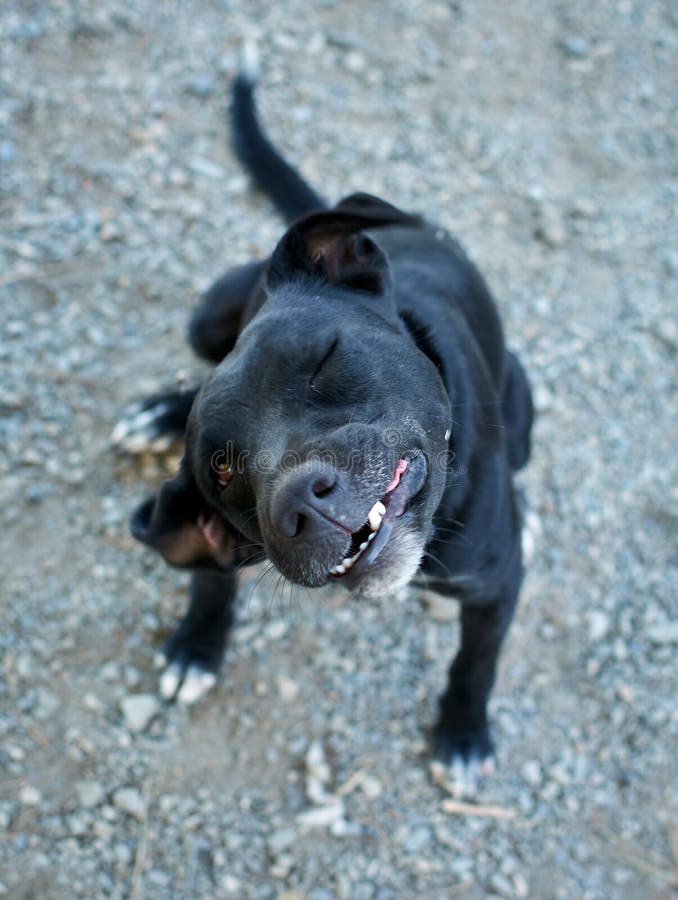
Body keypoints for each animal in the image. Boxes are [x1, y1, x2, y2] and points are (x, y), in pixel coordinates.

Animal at [113, 67, 536, 792]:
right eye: (223, 470)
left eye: (325, 358)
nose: (302, 507)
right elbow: (208, 577)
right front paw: (198, 644)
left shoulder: (496, 581)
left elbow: (475, 663)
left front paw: (461, 734)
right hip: (208, 310)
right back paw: (159, 414)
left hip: (524, 408)